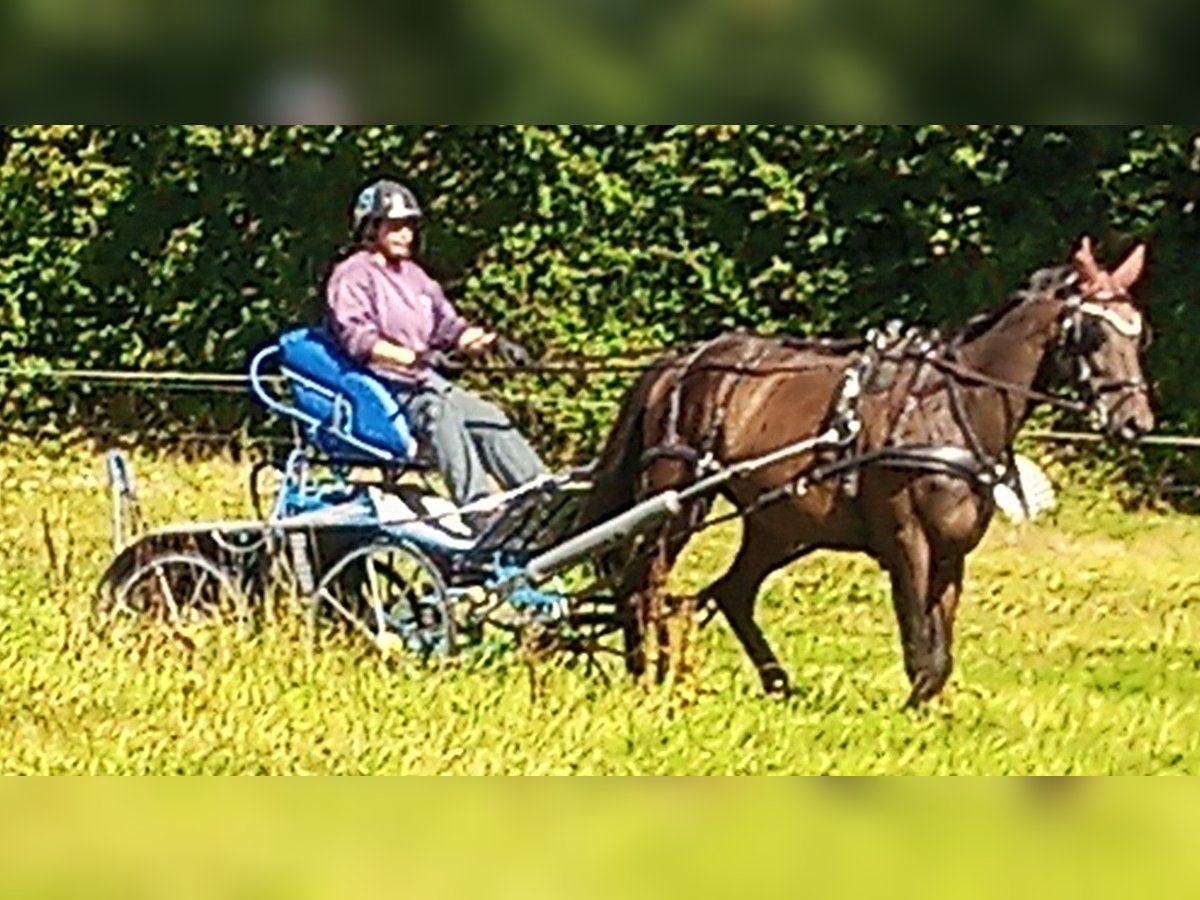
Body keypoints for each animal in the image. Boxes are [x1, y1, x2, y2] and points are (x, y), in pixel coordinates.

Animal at [576, 236, 1156, 710]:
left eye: (1139, 336)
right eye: (1091, 335)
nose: (1136, 422)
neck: (951, 404)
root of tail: (681, 360)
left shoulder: (953, 549)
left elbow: (941, 644)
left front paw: (929, 712)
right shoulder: (907, 541)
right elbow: (920, 640)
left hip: (781, 524)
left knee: (729, 593)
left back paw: (776, 684)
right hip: (676, 500)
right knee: (643, 584)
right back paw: (648, 675)